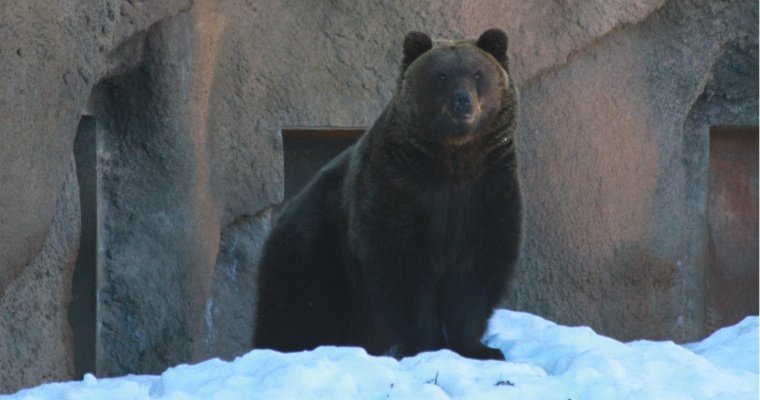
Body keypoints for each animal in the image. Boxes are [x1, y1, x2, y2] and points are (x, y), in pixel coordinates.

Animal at [255, 27, 524, 360]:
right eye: (441, 75)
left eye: (478, 73)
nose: (463, 102)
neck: (452, 160)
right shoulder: (397, 187)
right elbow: (400, 264)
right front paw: (421, 344)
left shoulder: (488, 191)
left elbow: (477, 269)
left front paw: (480, 348)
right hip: (313, 255)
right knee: (295, 310)